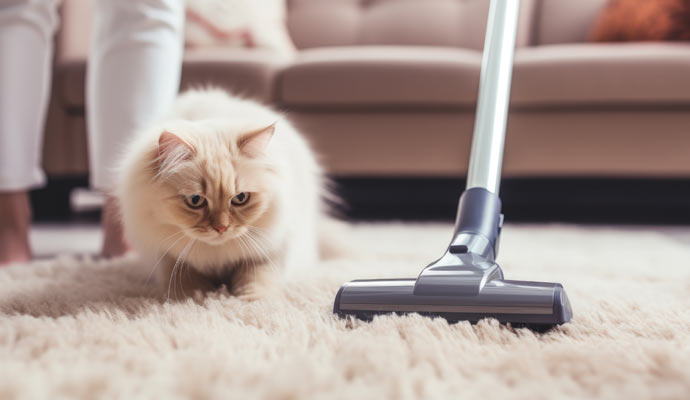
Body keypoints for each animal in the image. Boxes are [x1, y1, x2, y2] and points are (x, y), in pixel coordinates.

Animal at [117, 88, 330, 300]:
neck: (216, 256)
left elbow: (258, 277)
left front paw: (251, 300)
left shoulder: (270, 249)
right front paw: (197, 297)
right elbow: (183, 281)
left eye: (240, 198)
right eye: (195, 200)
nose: (221, 228)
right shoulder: (168, 255)